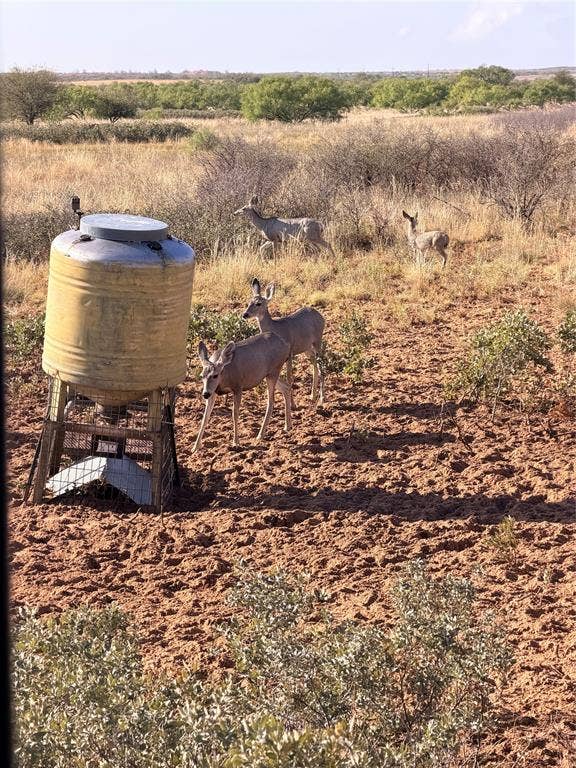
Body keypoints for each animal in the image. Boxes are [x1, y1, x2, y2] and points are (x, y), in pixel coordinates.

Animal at [243, 278, 325, 407]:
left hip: (318, 342)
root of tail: (320, 315)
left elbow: (289, 378)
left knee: (321, 366)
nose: (245, 314)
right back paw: (312, 396)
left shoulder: (289, 354)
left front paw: (293, 404)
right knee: (315, 365)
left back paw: (321, 399)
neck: (276, 328)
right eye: (249, 302)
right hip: (307, 348)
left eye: (258, 303)